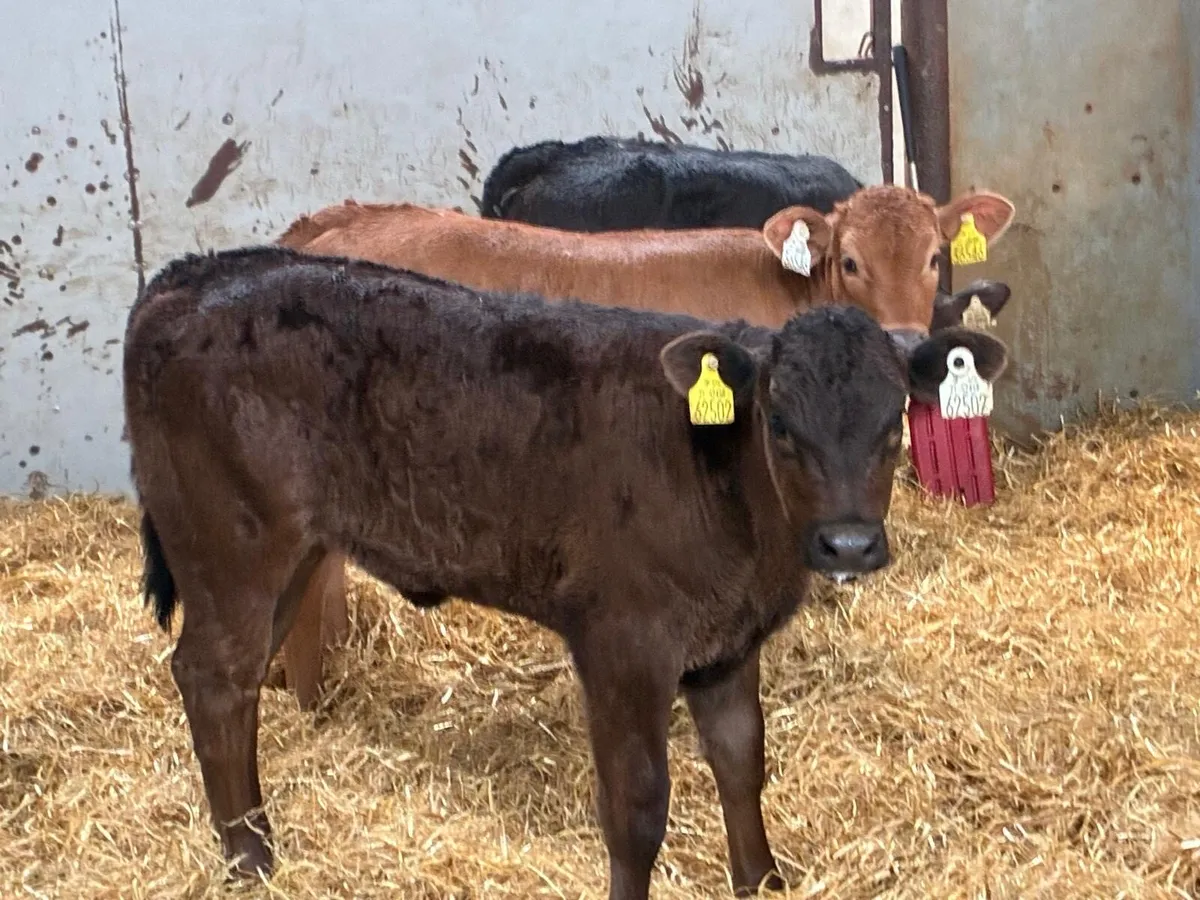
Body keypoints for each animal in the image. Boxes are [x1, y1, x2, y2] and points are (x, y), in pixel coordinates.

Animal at [125, 245, 1010, 900]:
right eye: (780, 421)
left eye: (894, 419)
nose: (848, 545)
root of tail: (191, 276)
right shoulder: (622, 641)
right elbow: (638, 805)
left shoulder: (727, 646)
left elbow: (741, 763)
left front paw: (762, 880)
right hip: (235, 546)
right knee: (212, 676)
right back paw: (250, 860)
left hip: (290, 555)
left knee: (232, 683)